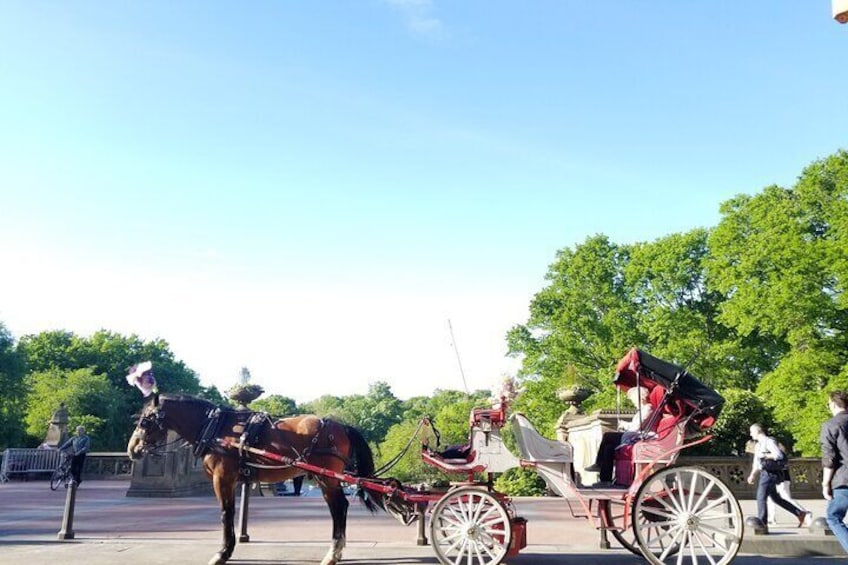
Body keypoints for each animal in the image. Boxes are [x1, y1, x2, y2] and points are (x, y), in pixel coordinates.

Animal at [126, 394, 384, 564]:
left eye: (145, 421)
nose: (132, 449)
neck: (215, 429)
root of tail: (341, 425)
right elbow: (229, 512)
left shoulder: (223, 478)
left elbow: (226, 513)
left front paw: (223, 552)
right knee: (339, 508)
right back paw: (336, 551)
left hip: (325, 478)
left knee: (339, 508)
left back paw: (333, 553)